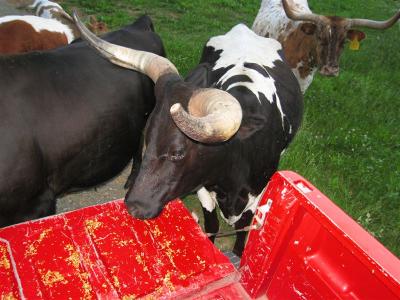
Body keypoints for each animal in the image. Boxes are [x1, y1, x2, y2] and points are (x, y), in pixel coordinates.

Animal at [74, 14, 304, 256]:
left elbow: (244, 229)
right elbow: (211, 224)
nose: (134, 205)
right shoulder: (202, 187)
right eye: (148, 139)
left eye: (177, 152)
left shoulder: (258, 193)